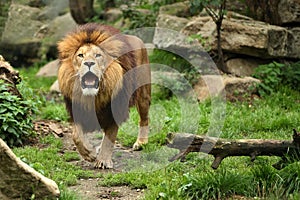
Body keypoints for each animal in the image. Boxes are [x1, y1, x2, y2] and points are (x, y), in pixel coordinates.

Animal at [56, 22, 150, 168]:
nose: (89, 63)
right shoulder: (77, 109)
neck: (93, 96)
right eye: (81, 55)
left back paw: (141, 143)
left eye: (98, 55)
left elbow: (110, 135)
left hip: (143, 95)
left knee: (144, 119)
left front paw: (103, 160)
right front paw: (89, 153)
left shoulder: (115, 109)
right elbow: (76, 135)